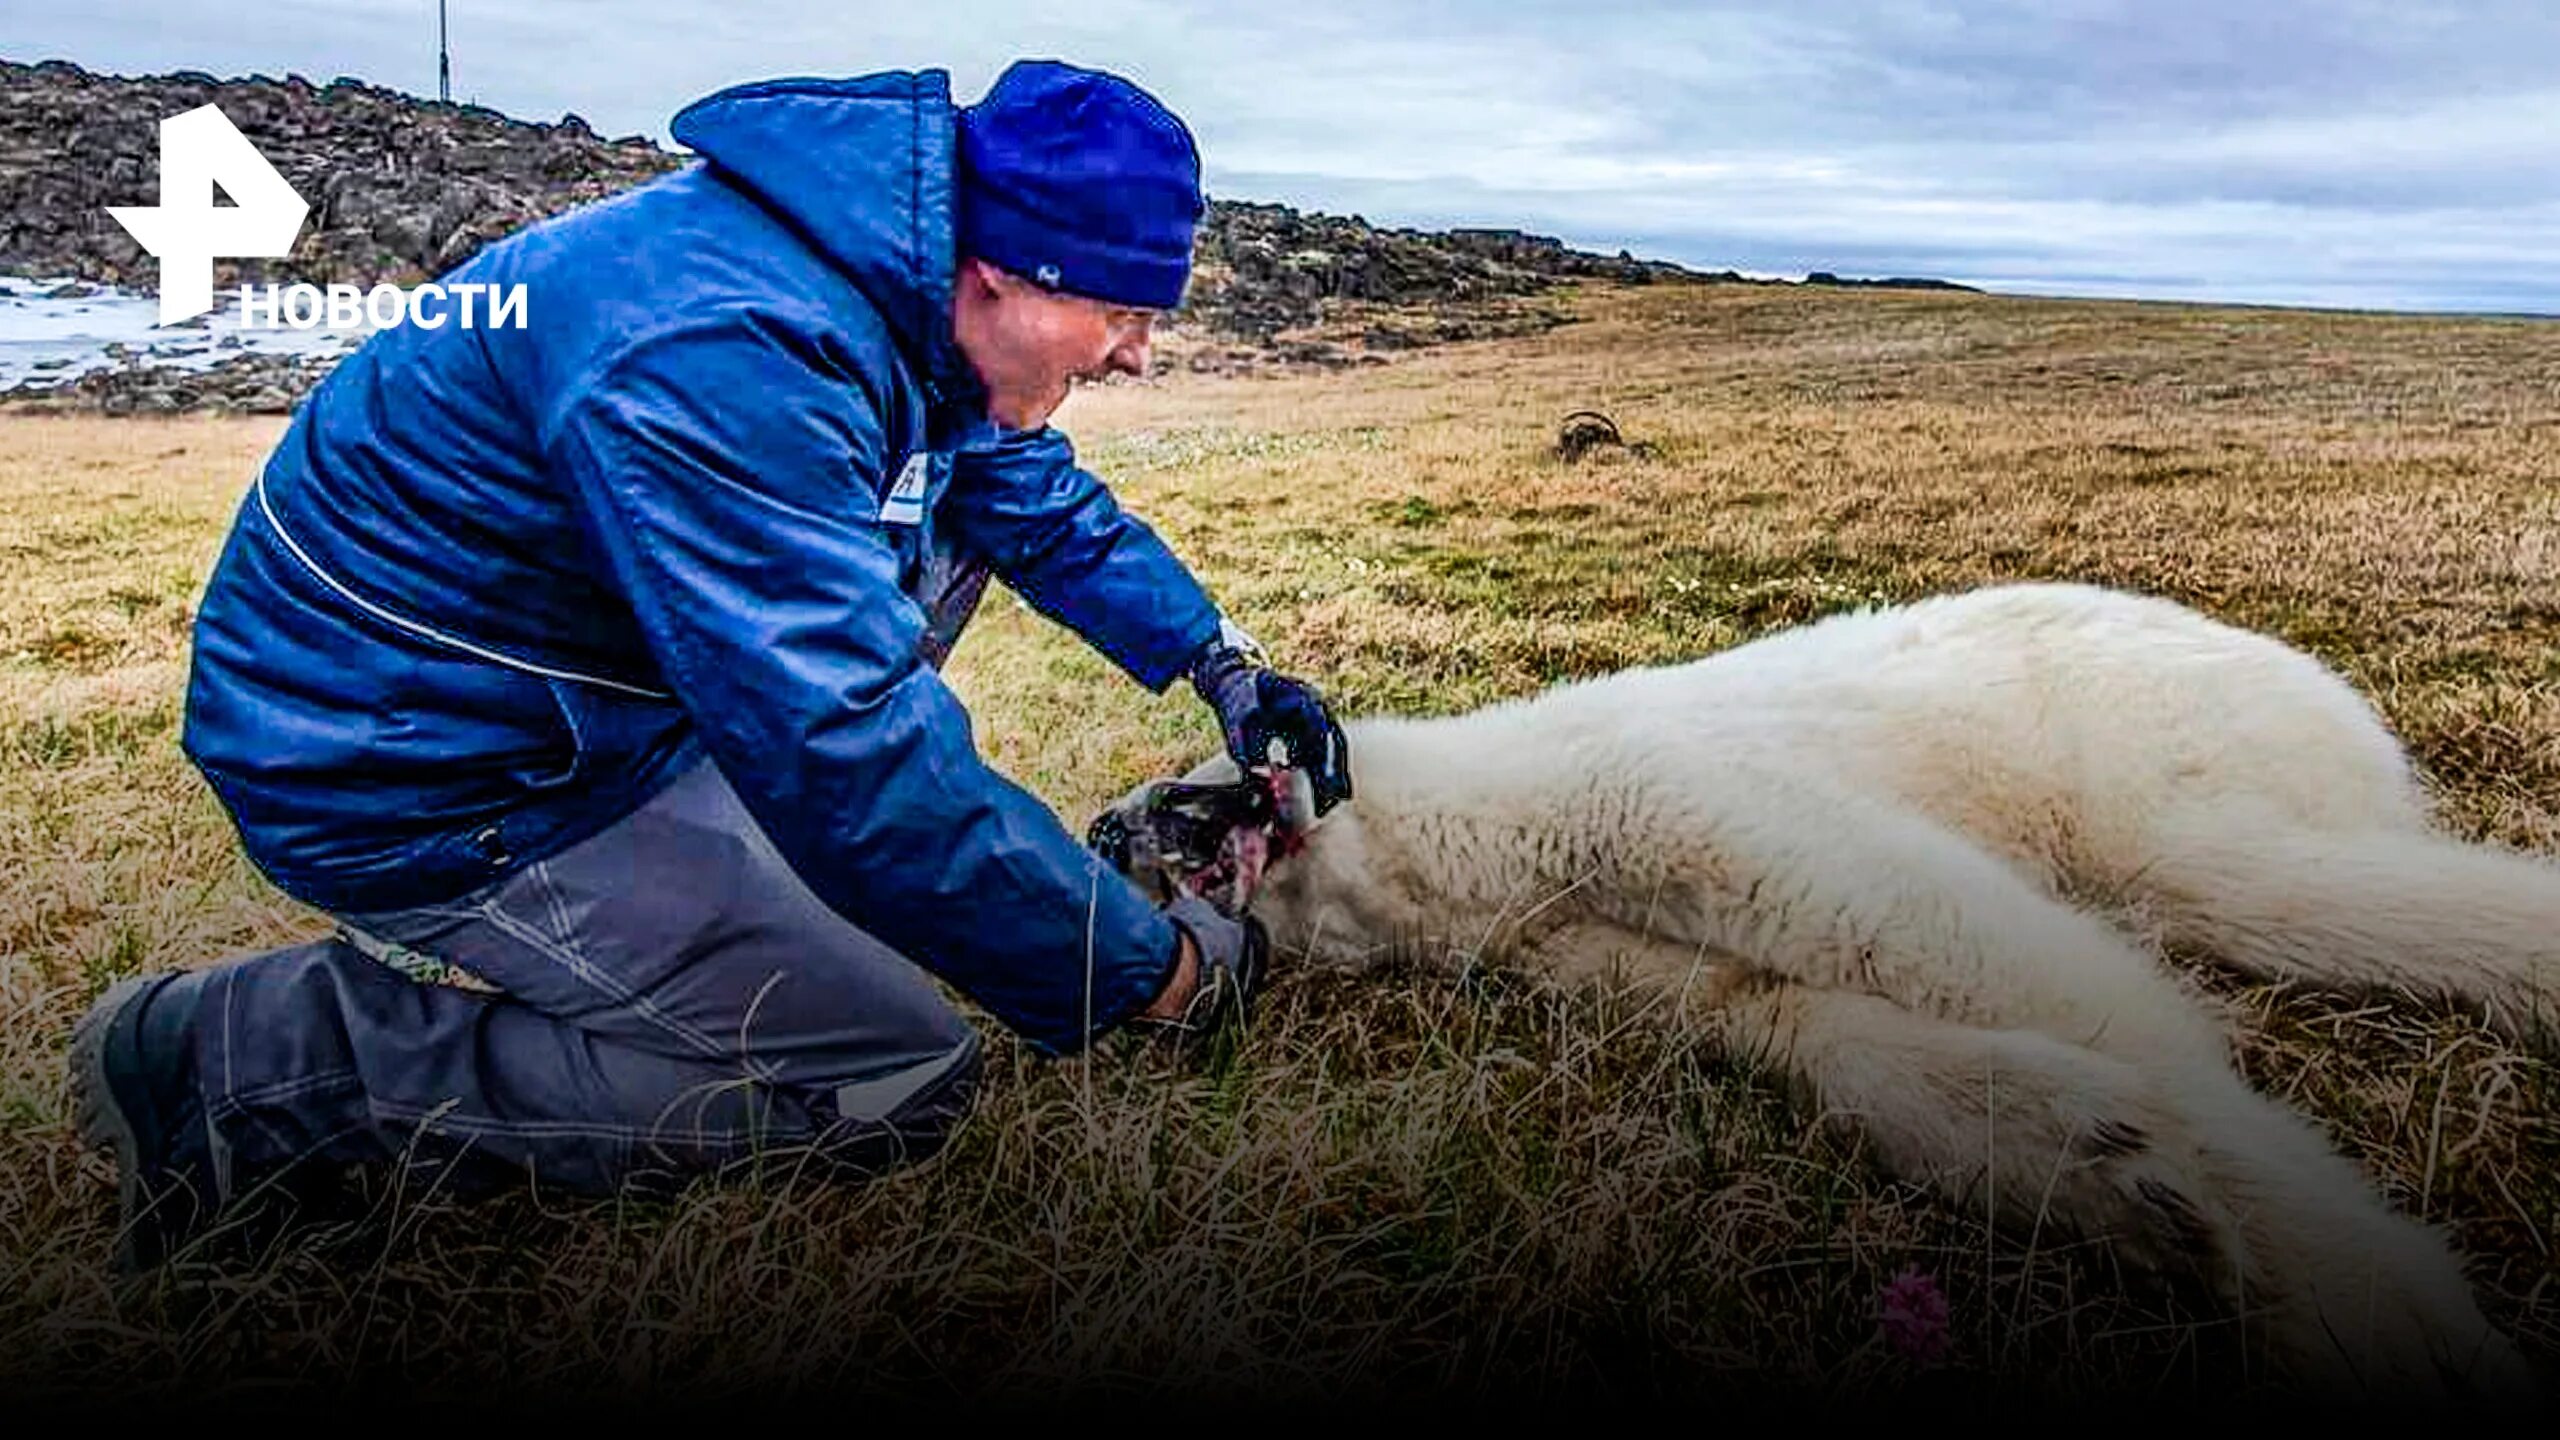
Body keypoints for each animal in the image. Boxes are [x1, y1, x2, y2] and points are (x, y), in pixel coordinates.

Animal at [1100, 576, 2560, 1393]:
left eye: (1185, 782)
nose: (1114, 828)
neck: (1488, 826)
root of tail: (2330, 695)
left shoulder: (1653, 796)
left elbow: (1957, 942)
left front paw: (2364, 1297)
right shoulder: (1584, 940)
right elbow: (1790, 1019)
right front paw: (2113, 1167)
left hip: (2147, 739)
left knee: (2242, 873)